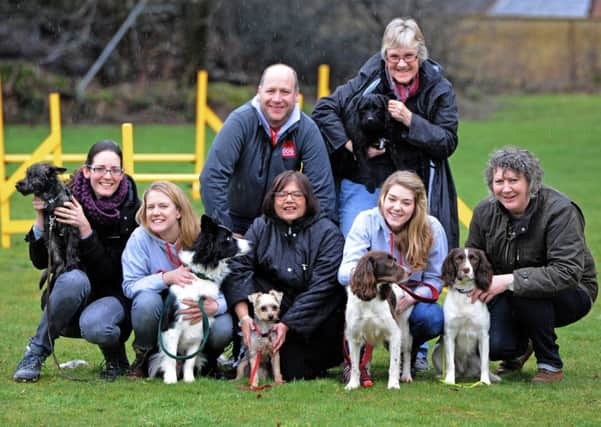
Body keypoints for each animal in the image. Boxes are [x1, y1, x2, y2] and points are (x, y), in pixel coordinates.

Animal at [342, 251, 412, 392]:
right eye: (390, 262)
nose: (410, 272)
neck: (370, 299)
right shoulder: (353, 337)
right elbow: (355, 365)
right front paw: (353, 384)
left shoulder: (395, 334)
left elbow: (394, 363)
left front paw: (393, 384)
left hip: (404, 331)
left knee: (407, 353)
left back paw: (406, 375)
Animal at [428, 247, 500, 384]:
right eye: (458, 258)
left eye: (474, 258)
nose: (466, 270)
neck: (465, 293)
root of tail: (464, 373)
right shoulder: (449, 334)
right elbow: (450, 363)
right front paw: (449, 380)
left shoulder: (483, 335)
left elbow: (485, 363)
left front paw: (485, 381)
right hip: (437, 350)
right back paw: (442, 376)